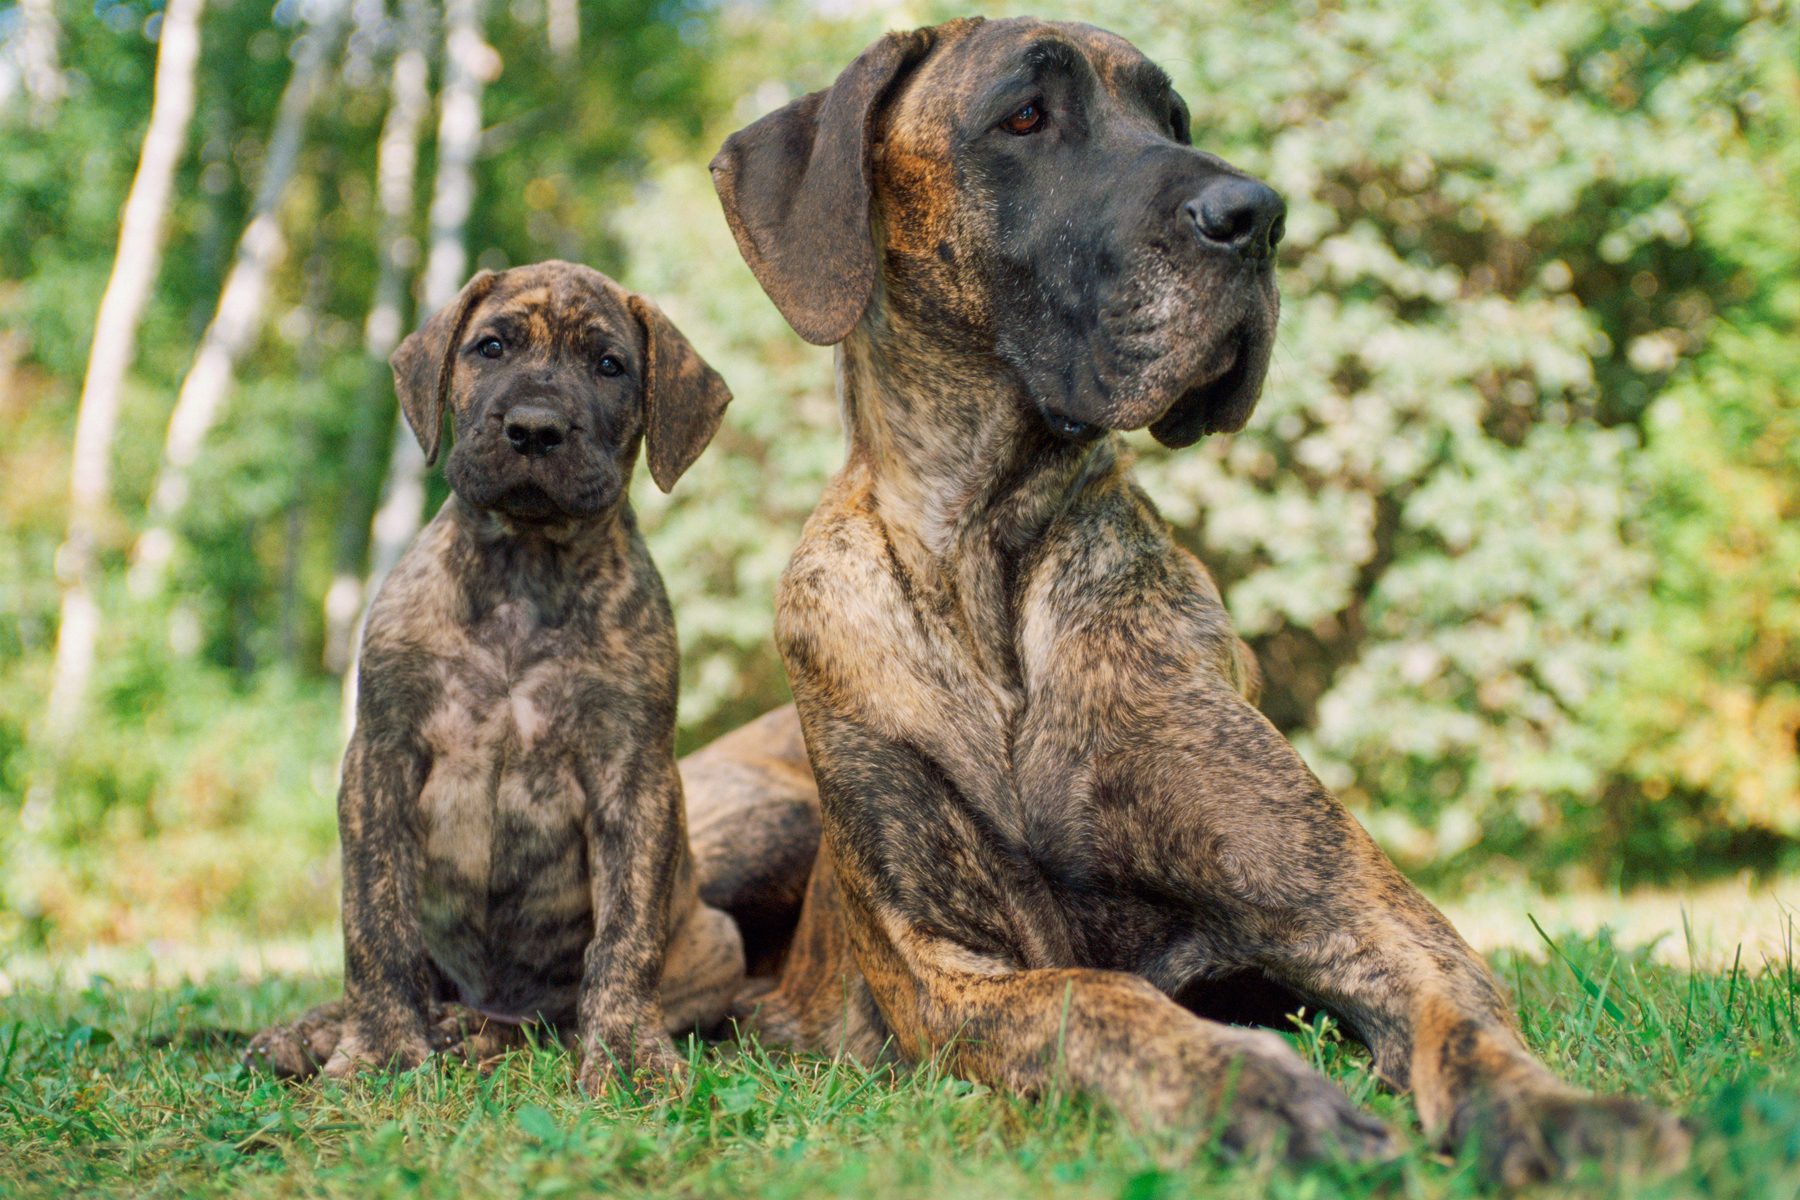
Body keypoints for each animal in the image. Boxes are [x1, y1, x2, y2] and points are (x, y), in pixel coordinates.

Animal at [246, 260, 738, 1086]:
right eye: (491, 347)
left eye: (610, 366)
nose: (535, 428)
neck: (523, 571)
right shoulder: (381, 758)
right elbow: (374, 922)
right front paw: (379, 1049)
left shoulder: (635, 776)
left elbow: (628, 932)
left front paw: (627, 1053)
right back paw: (318, 1031)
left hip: (718, 939)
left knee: (541, 1021)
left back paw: (479, 1034)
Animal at [698, 16, 1684, 1180]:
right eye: (1024, 116)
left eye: (1173, 121)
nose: (1257, 215)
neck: (993, 561)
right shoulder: (943, 969)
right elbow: (1093, 997)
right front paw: (1251, 1092)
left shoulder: (1359, 912)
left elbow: (1465, 1024)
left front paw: (1558, 1114)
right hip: (755, 821)